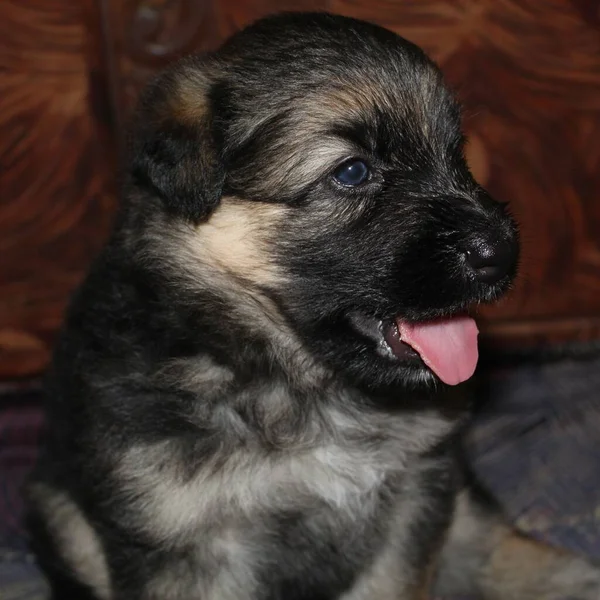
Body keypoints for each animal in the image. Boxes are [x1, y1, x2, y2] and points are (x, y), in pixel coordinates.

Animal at [24, 9, 600, 600]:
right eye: (352, 172)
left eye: (455, 154)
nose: (502, 252)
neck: (302, 389)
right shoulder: (181, 539)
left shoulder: (415, 491)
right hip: (60, 515)